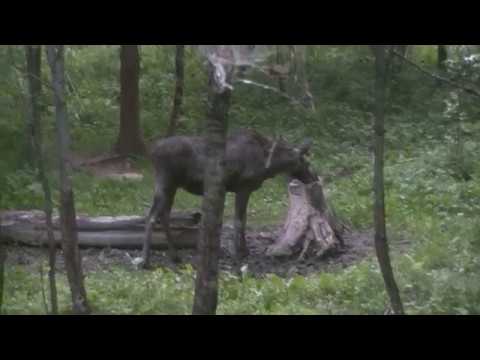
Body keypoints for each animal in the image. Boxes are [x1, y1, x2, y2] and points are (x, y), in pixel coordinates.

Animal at [141, 129, 316, 268]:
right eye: (306, 163)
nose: (313, 178)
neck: (268, 165)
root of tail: (152, 153)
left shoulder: (243, 189)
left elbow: (243, 220)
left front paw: (243, 250)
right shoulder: (243, 187)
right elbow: (238, 221)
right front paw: (237, 254)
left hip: (172, 186)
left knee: (163, 215)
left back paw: (175, 256)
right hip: (165, 181)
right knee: (152, 216)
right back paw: (145, 261)